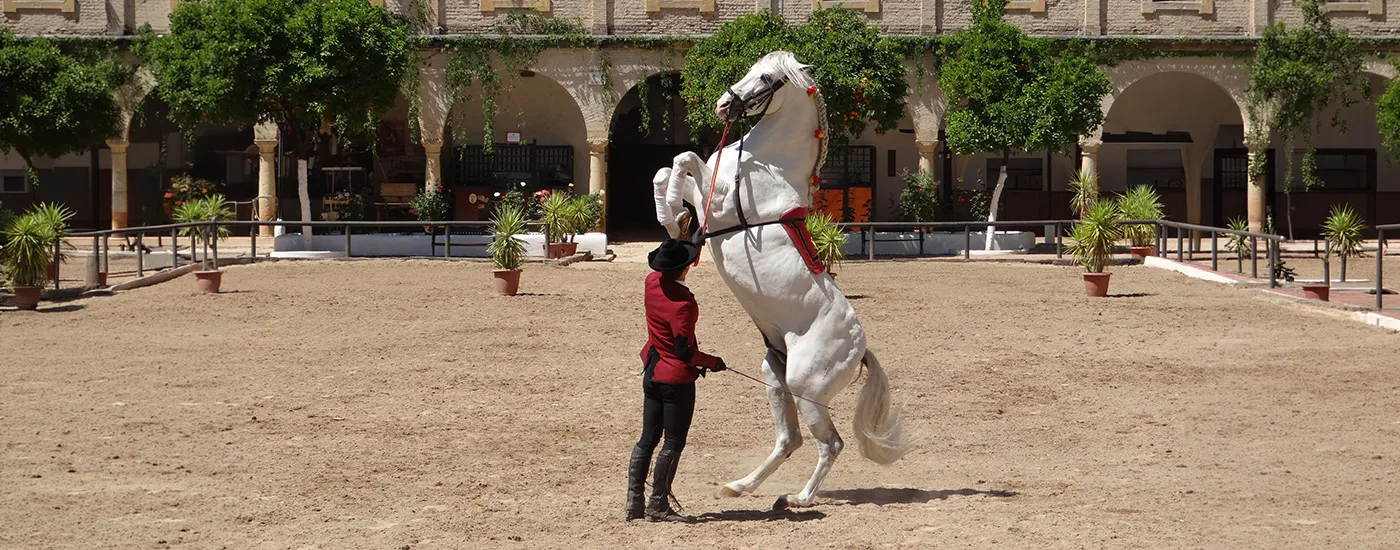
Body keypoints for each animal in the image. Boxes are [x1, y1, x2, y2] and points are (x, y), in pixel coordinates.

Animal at [651, 51, 913, 510]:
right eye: (751, 68)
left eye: (765, 78)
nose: (723, 105)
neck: (766, 164)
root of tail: (860, 350)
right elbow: (666, 171)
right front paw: (672, 217)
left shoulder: (717, 202)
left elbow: (683, 160)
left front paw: (671, 218)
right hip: (774, 375)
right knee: (789, 440)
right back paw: (740, 486)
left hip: (805, 387)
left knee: (831, 444)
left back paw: (799, 498)